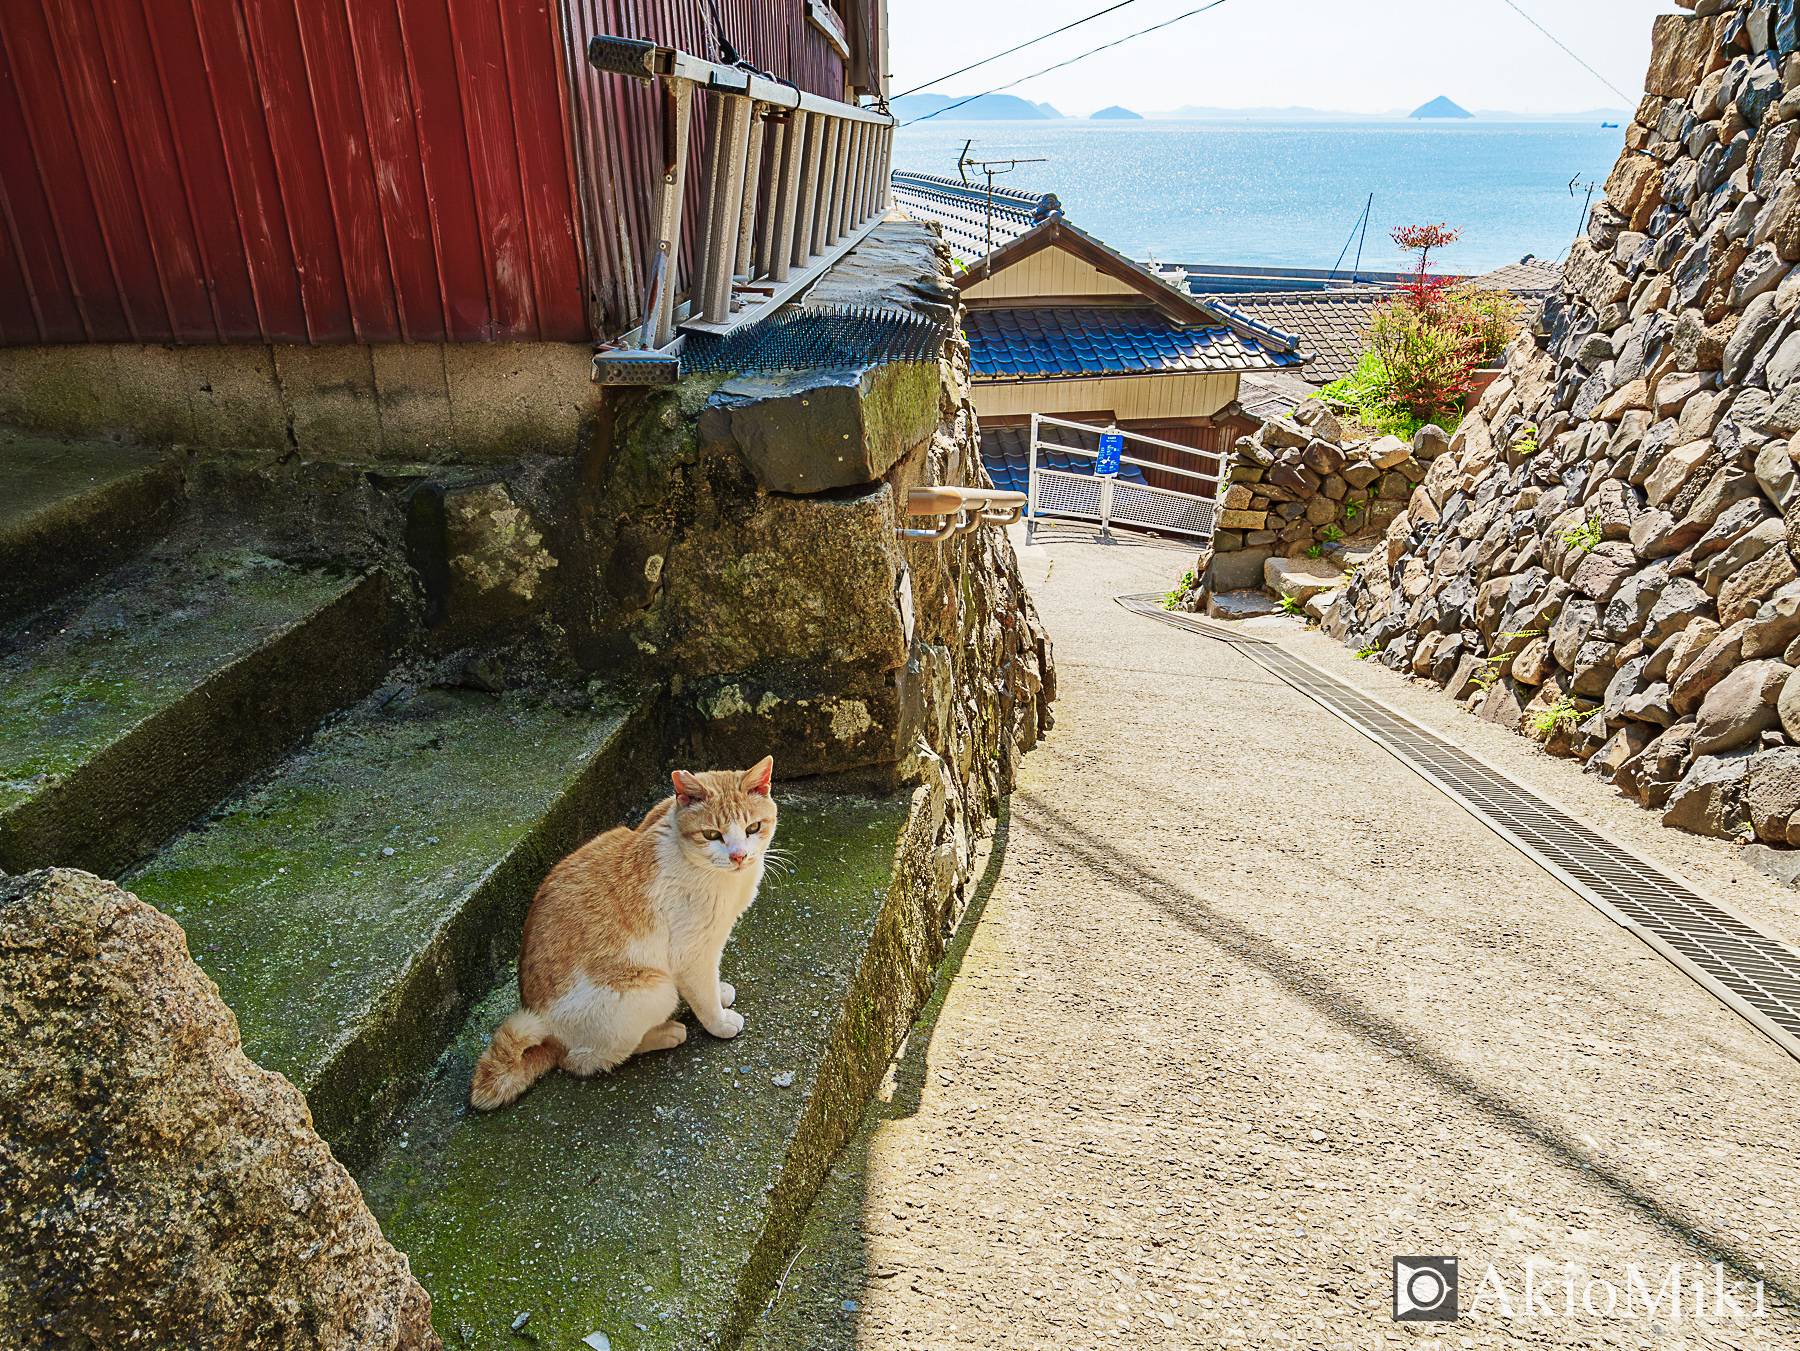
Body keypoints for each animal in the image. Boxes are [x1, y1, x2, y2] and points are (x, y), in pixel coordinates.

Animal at [468, 762, 777, 1108]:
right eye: (712, 834)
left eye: (753, 828)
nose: (739, 856)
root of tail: (548, 1038)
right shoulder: (691, 954)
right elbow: (704, 997)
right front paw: (720, 1021)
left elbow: (711, 983)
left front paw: (720, 992)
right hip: (653, 988)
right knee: (583, 1060)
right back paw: (665, 1032)